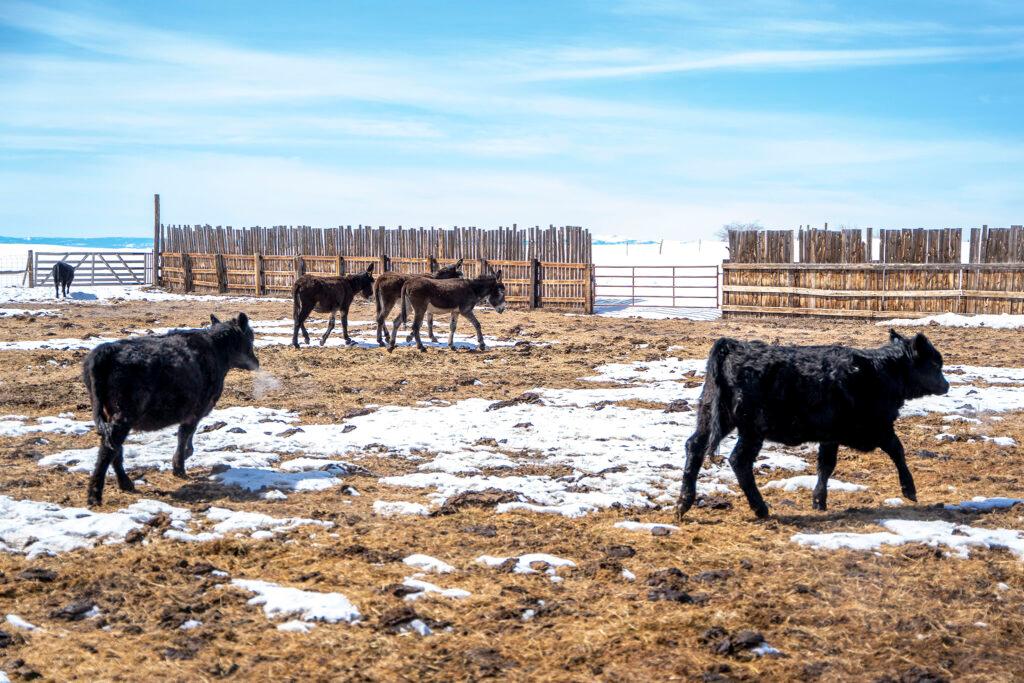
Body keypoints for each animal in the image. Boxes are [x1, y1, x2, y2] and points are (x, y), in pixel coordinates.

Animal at [83, 313, 260, 505]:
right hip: (123, 415)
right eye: (250, 337)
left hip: (109, 414)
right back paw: (95, 495)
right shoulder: (196, 409)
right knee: (107, 451)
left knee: (114, 448)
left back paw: (126, 484)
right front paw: (179, 466)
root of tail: (107, 350)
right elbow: (185, 434)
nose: (256, 363)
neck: (216, 349)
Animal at [675, 329, 946, 518]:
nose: (946, 385)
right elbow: (897, 450)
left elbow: (825, 465)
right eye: (935, 364)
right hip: (752, 429)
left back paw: (682, 504)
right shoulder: (879, 427)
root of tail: (733, 346)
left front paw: (819, 501)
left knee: (695, 447)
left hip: (711, 416)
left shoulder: (831, 434)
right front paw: (909, 490)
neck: (879, 371)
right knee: (739, 460)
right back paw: (760, 508)